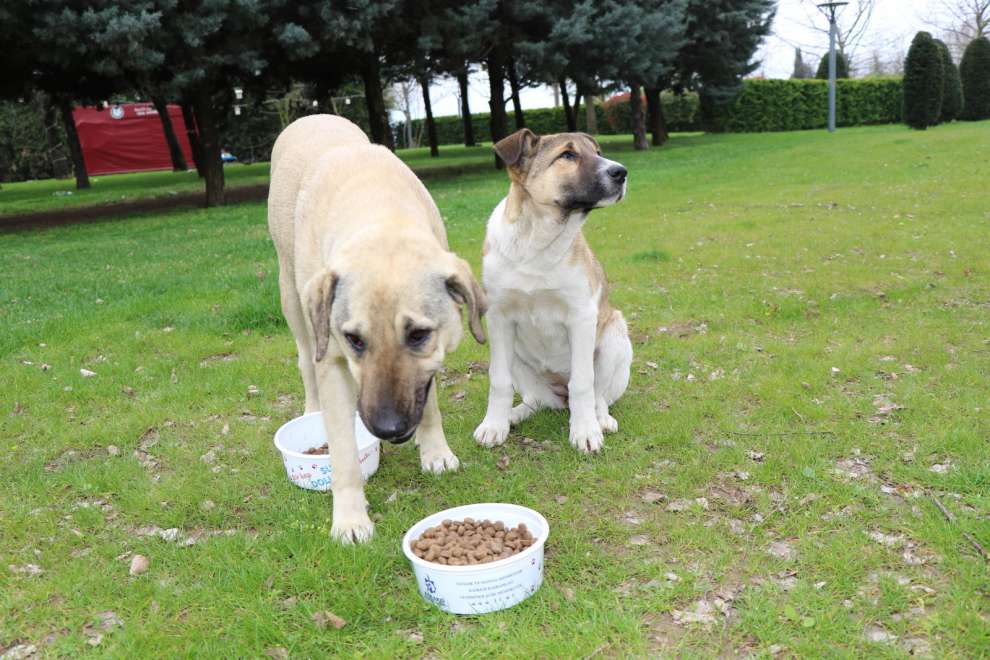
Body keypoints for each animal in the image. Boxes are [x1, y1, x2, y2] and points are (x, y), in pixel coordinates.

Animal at [270, 116, 486, 544]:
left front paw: (435, 452)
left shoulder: (426, 368)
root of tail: (309, 117)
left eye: (418, 335)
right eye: (355, 340)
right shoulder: (333, 361)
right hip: (293, 299)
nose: (388, 429)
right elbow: (341, 452)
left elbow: (430, 404)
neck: (381, 216)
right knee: (305, 358)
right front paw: (350, 518)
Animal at [474, 131, 632, 456]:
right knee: (536, 399)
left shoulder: (582, 317)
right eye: (567, 155)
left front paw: (585, 432)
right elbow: (499, 381)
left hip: (614, 336)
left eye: (598, 152)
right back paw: (516, 414)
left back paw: (600, 420)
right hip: (518, 356)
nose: (621, 172)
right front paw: (494, 426)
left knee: (598, 395)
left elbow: (583, 382)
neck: (537, 240)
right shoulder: (499, 319)